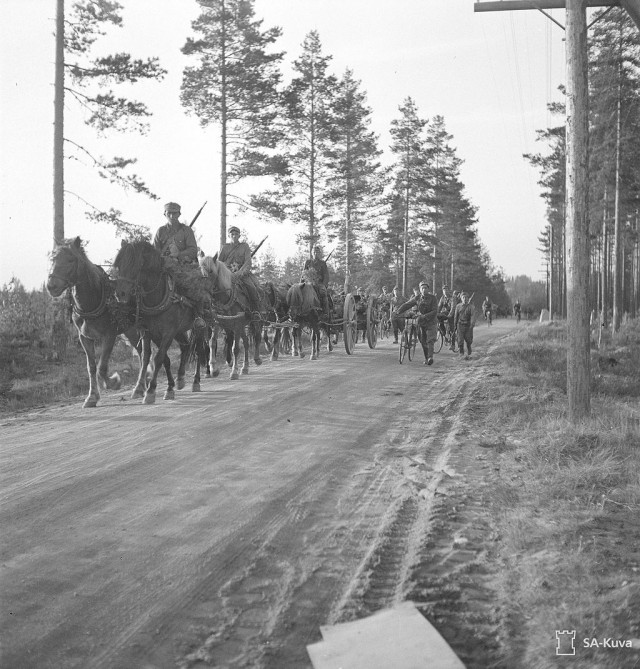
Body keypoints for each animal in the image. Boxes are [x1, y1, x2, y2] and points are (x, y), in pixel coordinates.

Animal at [45, 237, 143, 410]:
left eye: (71, 260)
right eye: (53, 259)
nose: (52, 286)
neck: (93, 300)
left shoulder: (109, 336)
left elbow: (102, 367)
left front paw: (114, 382)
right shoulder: (85, 338)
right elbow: (91, 367)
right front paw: (91, 397)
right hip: (130, 330)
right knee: (140, 351)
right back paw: (140, 387)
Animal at [112, 241, 205, 408]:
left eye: (136, 265)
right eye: (119, 264)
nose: (120, 294)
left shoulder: (168, 332)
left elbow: (159, 358)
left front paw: (150, 391)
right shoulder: (149, 332)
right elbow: (151, 357)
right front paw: (166, 387)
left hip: (199, 327)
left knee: (199, 350)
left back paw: (195, 381)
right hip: (179, 331)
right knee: (186, 347)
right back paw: (181, 378)